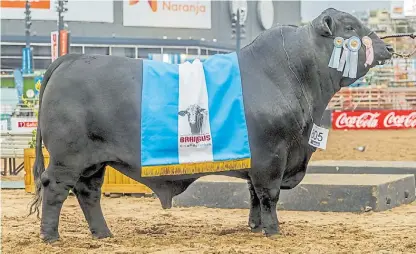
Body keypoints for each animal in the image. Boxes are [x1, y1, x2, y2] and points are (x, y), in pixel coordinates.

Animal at [29, 7, 394, 242]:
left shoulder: (259, 159)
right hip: (68, 158)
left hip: (94, 161)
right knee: (55, 189)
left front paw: (255, 228)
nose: (389, 46)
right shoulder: (272, 156)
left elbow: (254, 195)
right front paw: (273, 230)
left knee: (88, 192)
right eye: (350, 29)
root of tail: (72, 57)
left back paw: (103, 234)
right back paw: (51, 236)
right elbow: (269, 195)